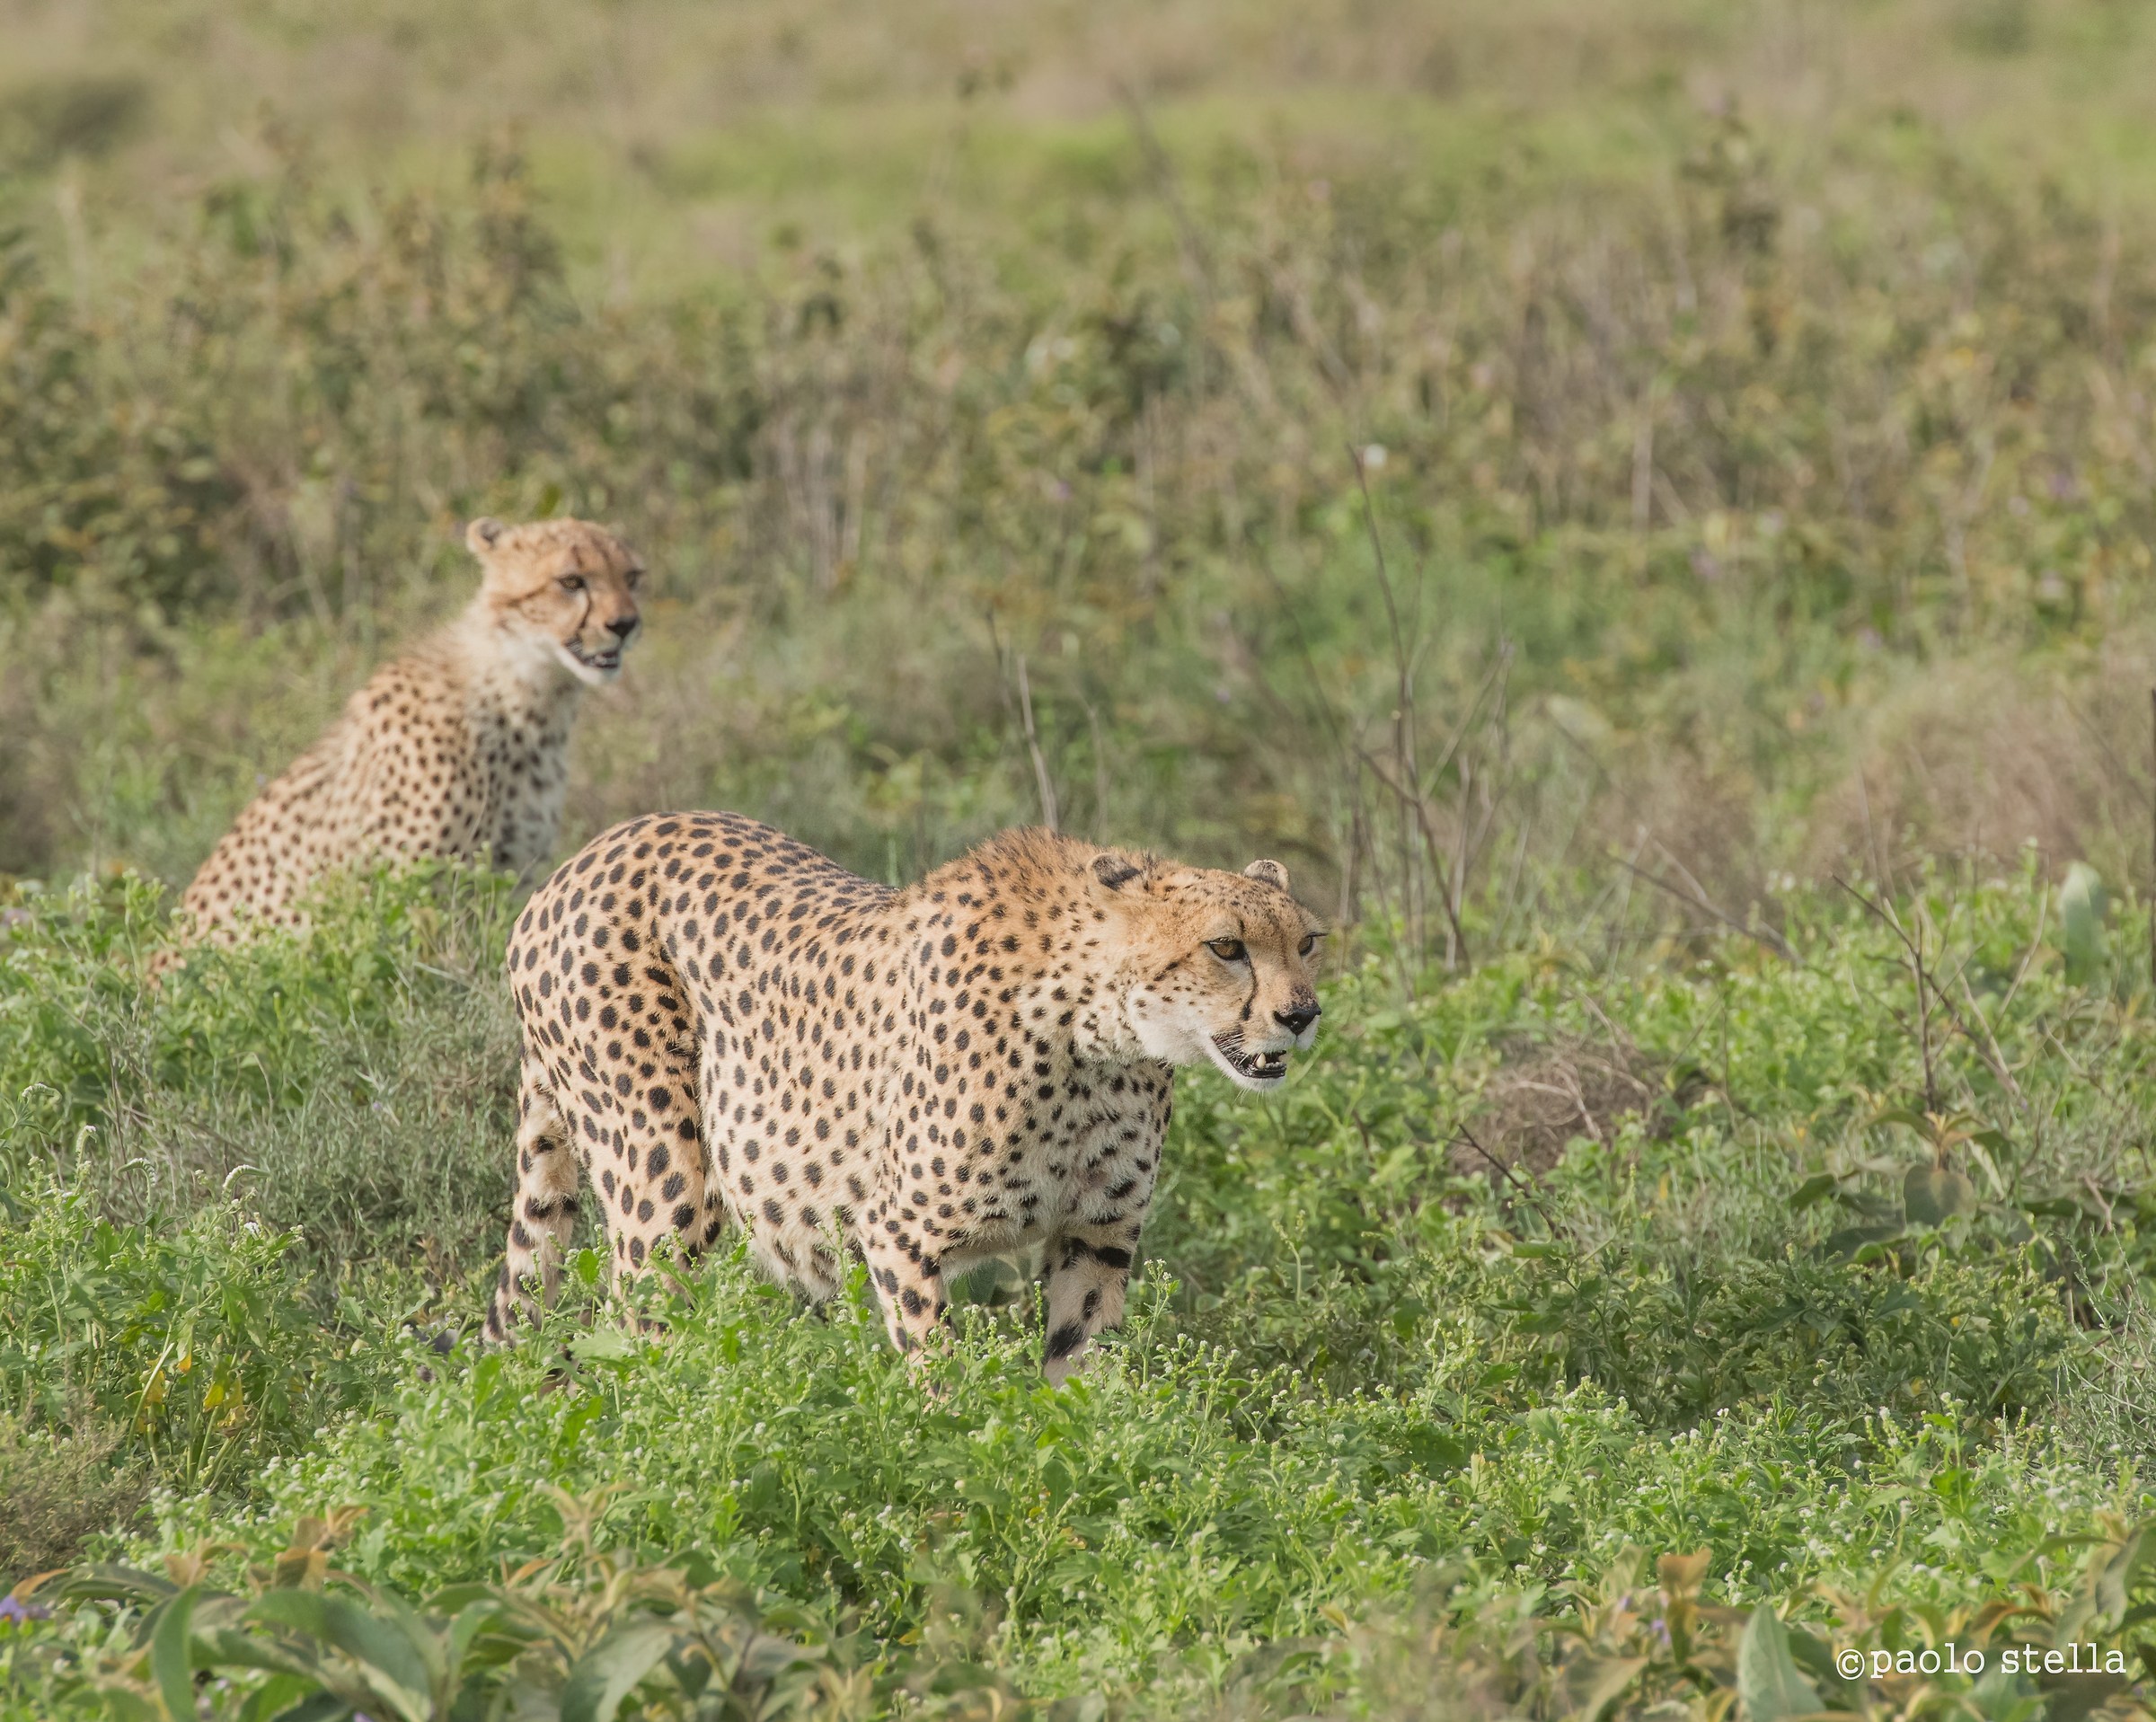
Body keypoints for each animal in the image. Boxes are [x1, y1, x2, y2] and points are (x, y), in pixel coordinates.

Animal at [168, 517, 644, 950]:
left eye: (632, 578)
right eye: (571, 581)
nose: (625, 625)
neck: (528, 696)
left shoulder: (510, 880)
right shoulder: (408, 888)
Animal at [486, 812, 1325, 1381]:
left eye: (1307, 942)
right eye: (1226, 946)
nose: (1302, 1013)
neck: (1099, 1035)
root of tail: (587, 856)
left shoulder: (1097, 1232)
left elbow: (1078, 1369)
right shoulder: (897, 1231)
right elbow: (937, 1372)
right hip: (665, 1181)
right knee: (638, 1326)